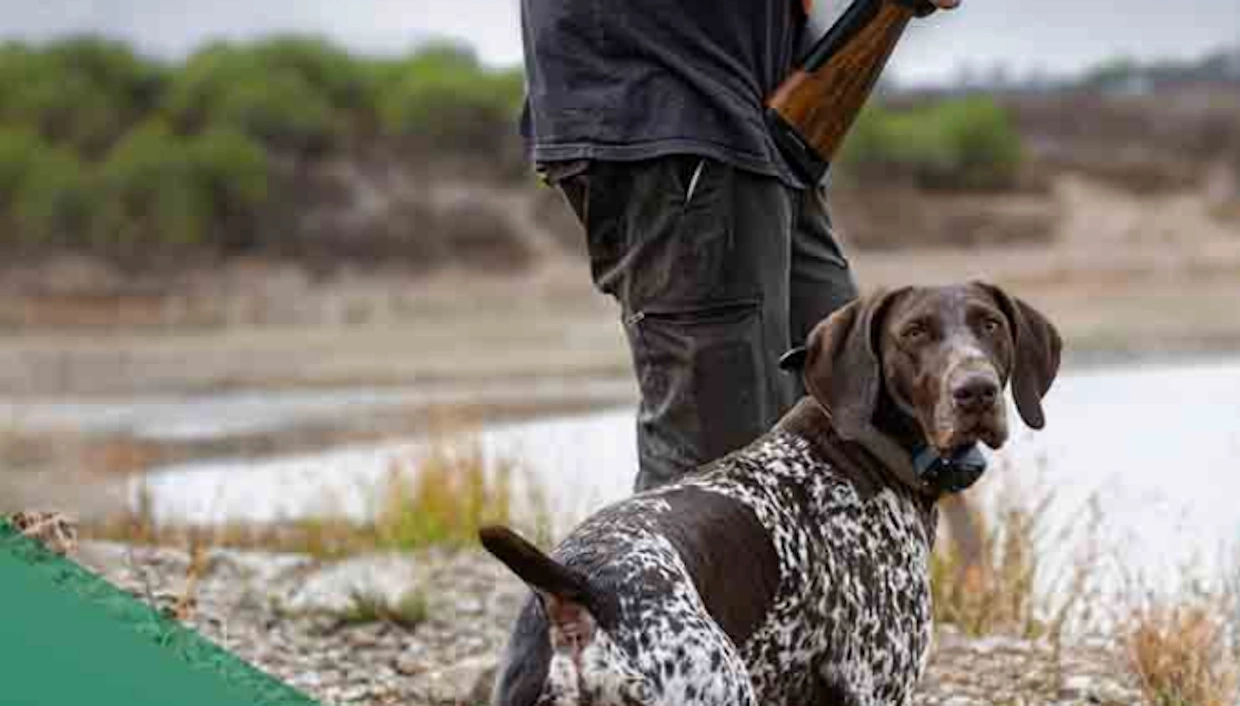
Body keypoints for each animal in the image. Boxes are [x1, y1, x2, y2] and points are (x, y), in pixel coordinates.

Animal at [478, 280, 1061, 704]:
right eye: (914, 332)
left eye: (990, 324)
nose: (976, 391)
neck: (864, 448)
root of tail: (577, 590)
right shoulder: (878, 685)